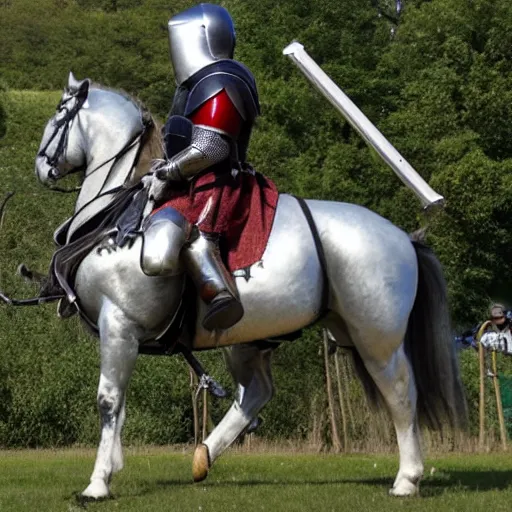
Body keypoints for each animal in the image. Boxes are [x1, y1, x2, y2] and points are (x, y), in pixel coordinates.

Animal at [20, 74, 464, 498]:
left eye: (59, 113)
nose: (41, 168)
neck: (114, 221)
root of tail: (406, 238)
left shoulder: (120, 327)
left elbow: (109, 401)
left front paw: (97, 483)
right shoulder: (122, 339)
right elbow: (122, 403)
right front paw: (112, 468)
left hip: (377, 339)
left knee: (401, 393)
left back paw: (407, 479)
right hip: (256, 338)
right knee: (256, 392)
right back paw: (203, 456)